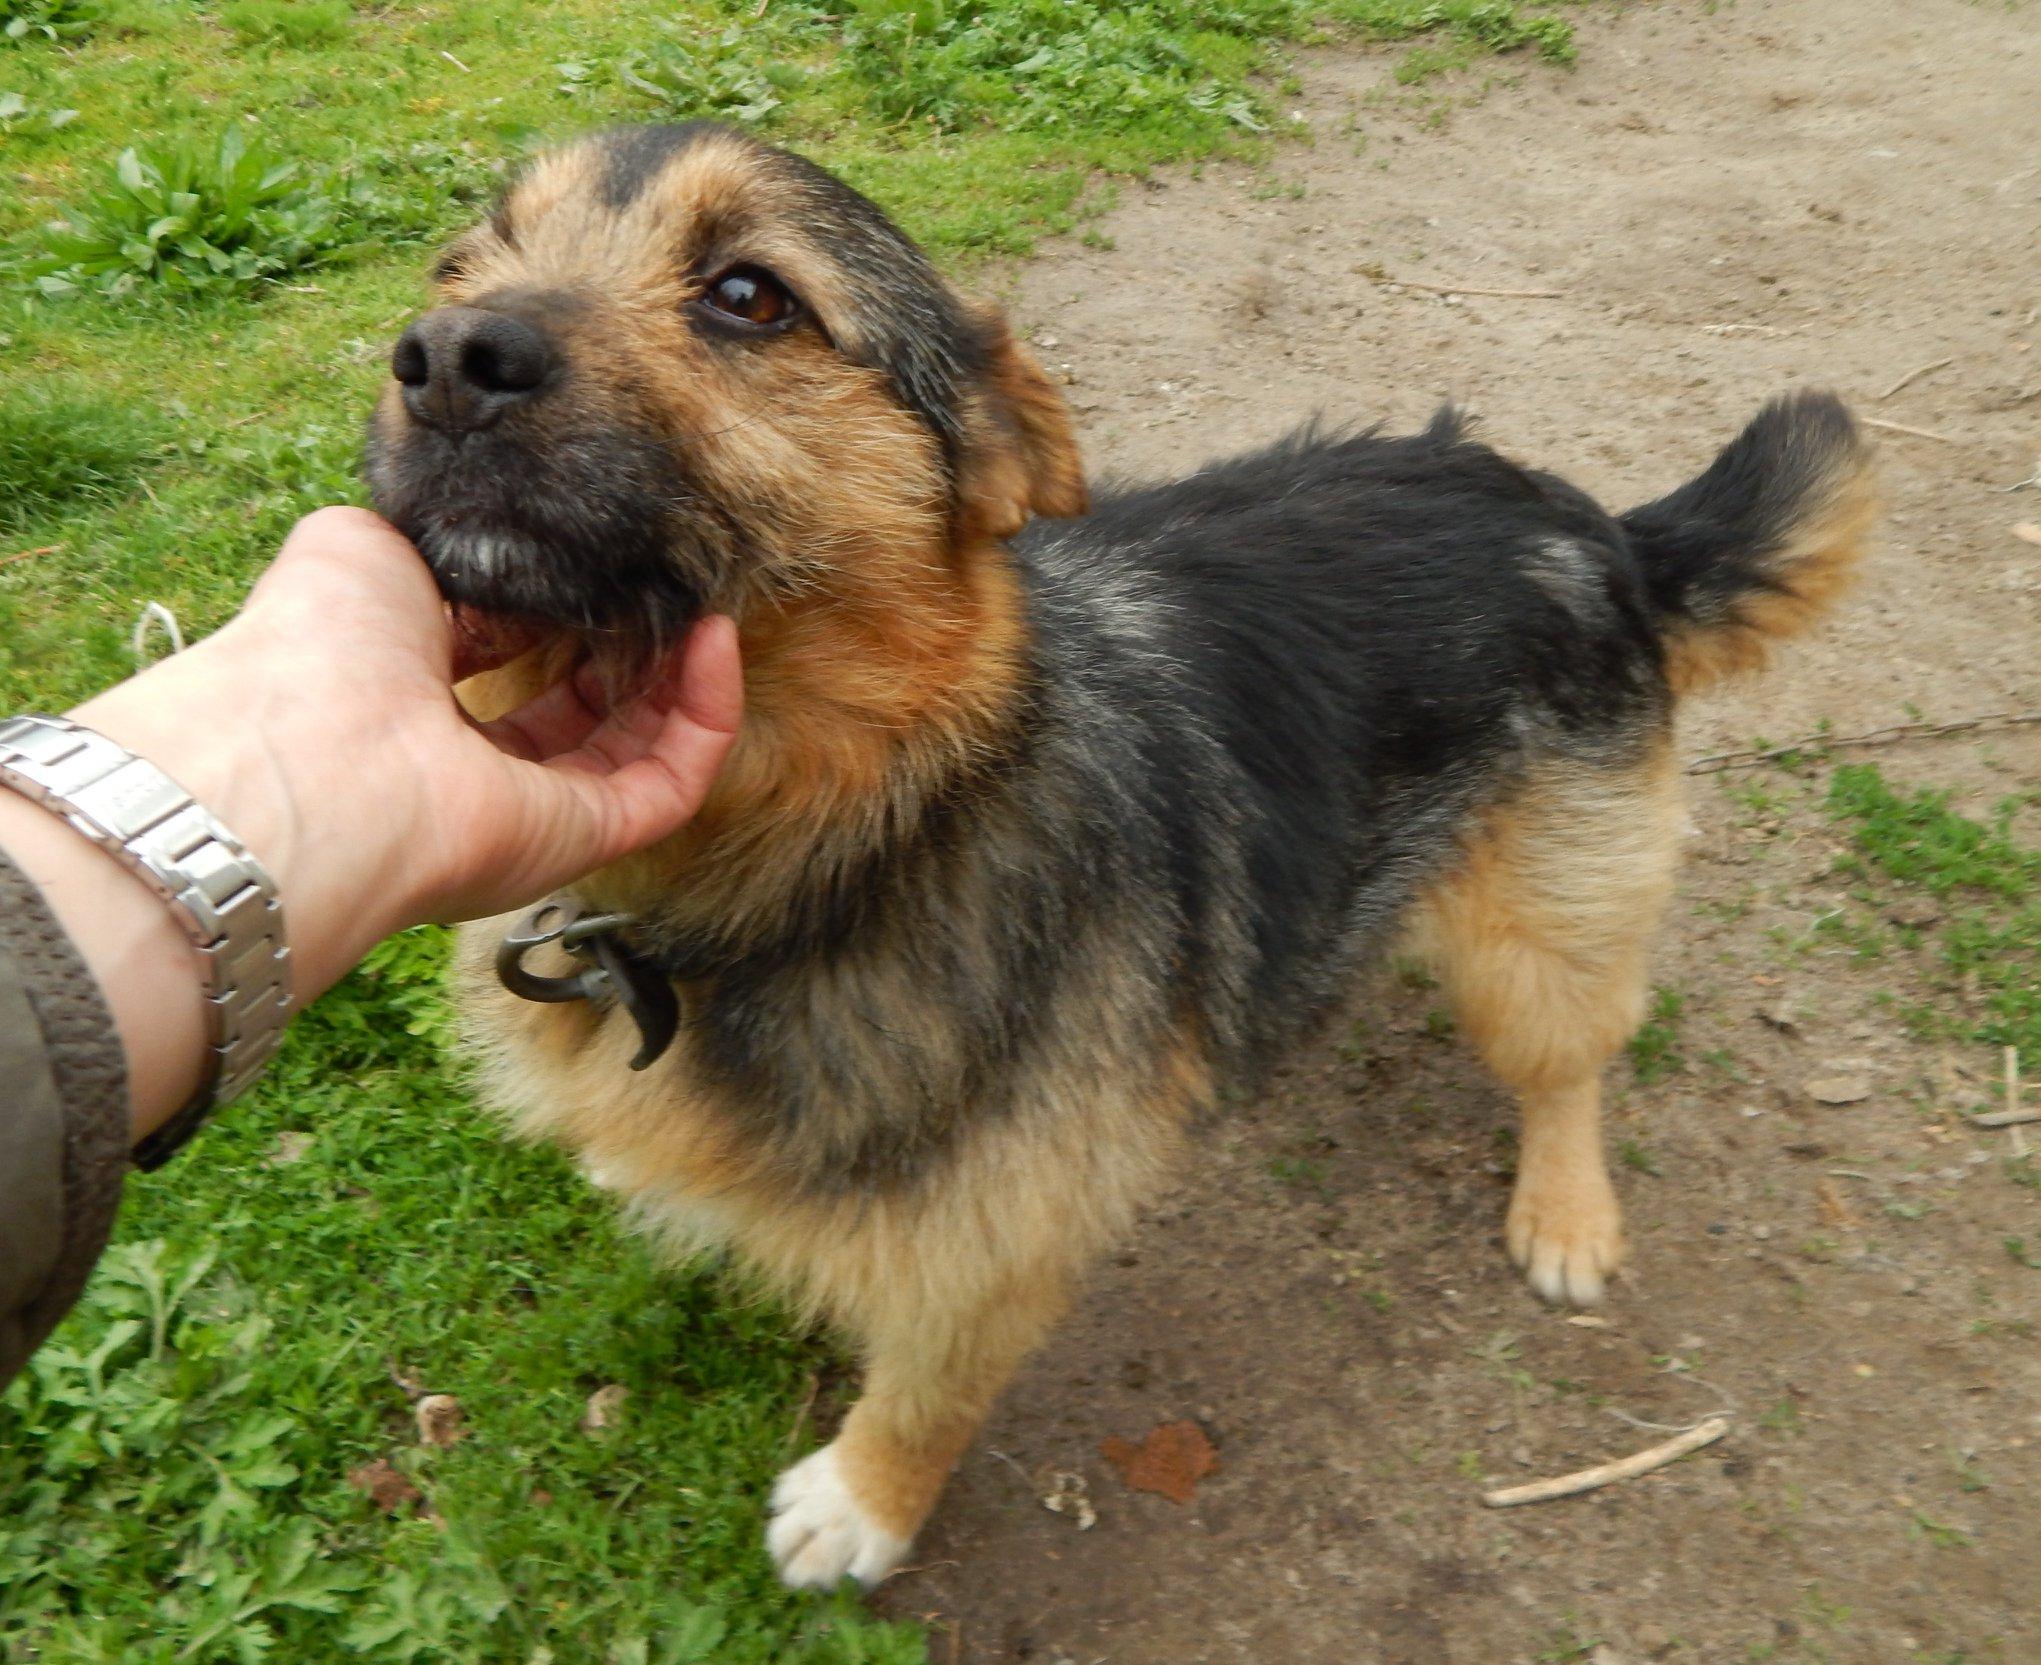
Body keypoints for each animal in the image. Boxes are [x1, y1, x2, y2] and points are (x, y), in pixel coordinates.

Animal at [364, 121, 1876, 1589]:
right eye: (466, 259)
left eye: (751, 296)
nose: (443, 360)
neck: (860, 828)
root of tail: (1586, 522)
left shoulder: (992, 1245)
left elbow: (925, 1395)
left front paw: (863, 1507)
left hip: (1544, 923)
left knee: (1567, 1060)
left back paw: (1564, 1212)